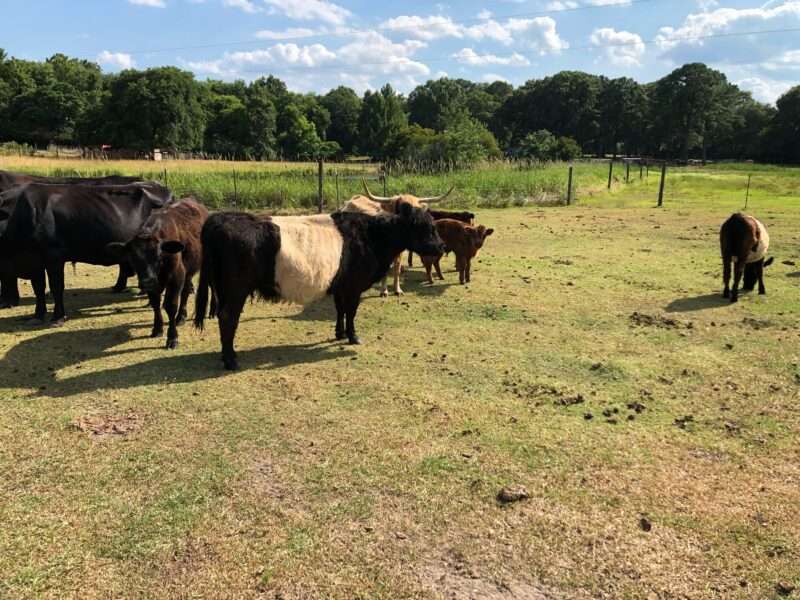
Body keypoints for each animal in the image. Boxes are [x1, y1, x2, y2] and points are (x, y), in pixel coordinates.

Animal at [0, 183, 172, 324]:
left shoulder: (53, 256)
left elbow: (56, 287)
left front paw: (58, 317)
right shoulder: (34, 261)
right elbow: (39, 288)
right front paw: (37, 316)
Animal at [106, 198, 208, 349]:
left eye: (159, 256)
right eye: (132, 258)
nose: (147, 281)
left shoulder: (176, 276)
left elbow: (170, 306)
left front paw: (172, 337)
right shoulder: (153, 285)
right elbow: (155, 304)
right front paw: (157, 328)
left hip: (189, 271)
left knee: (184, 293)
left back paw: (181, 316)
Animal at [194, 205, 445, 370]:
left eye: (434, 226)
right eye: (426, 228)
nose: (442, 246)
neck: (372, 236)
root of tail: (220, 219)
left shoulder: (340, 286)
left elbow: (340, 310)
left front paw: (339, 333)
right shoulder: (353, 286)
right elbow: (351, 312)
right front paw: (353, 337)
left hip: (223, 290)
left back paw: (227, 356)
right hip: (236, 289)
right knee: (228, 318)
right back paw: (231, 361)